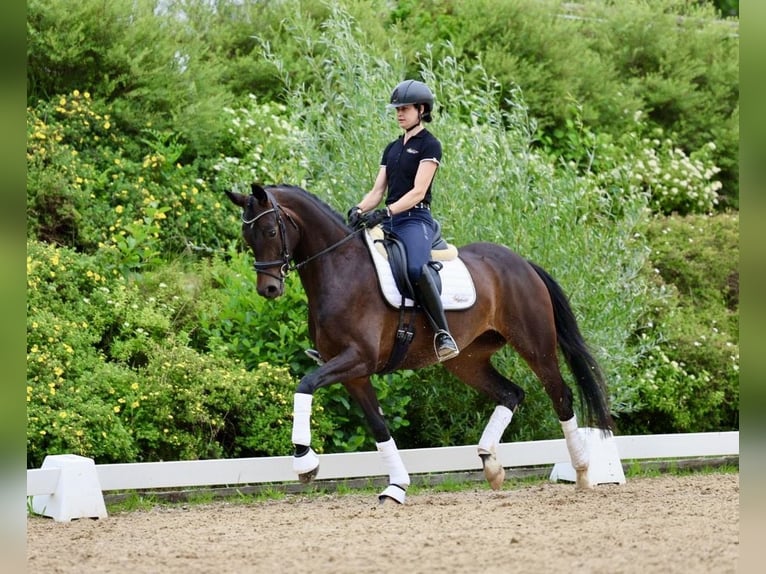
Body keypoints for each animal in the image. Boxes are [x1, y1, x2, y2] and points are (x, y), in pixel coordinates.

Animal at [225, 182, 616, 502]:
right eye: (247, 236)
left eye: (271, 230)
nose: (269, 289)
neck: (339, 269)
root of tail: (522, 263)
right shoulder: (354, 374)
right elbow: (379, 426)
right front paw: (396, 486)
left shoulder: (358, 359)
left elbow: (304, 385)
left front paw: (304, 462)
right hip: (466, 360)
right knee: (511, 393)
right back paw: (491, 465)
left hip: (535, 345)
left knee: (560, 394)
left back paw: (582, 472)